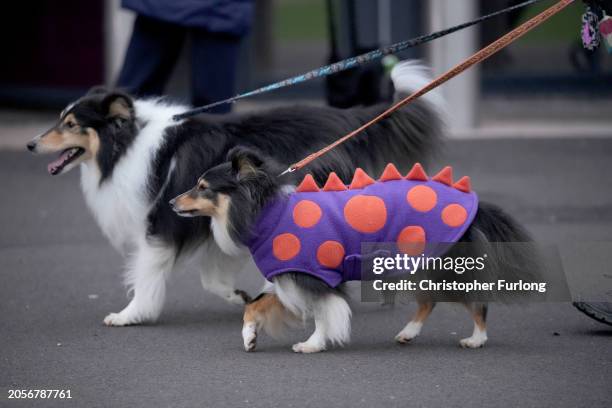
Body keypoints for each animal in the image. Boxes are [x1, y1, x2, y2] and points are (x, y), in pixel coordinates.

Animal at [26, 60, 444, 326]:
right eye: (59, 119)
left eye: (70, 123)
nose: (30, 144)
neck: (127, 143)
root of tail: (346, 117)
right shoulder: (216, 216)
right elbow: (215, 273)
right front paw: (238, 296)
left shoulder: (160, 224)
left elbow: (146, 273)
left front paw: (130, 315)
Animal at [169, 148, 540, 352]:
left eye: (202, 187)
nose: (171, 202)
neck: (266, 213)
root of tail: (474, 205)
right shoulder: (291, 276)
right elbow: (253, 306)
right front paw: (249, 338)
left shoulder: (314, 277)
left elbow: (323, 314)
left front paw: (312, 344)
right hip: (420, 265)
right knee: (429, 301)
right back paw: (407, 333)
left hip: (442, 265)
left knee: (476, 303)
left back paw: (476, 339)